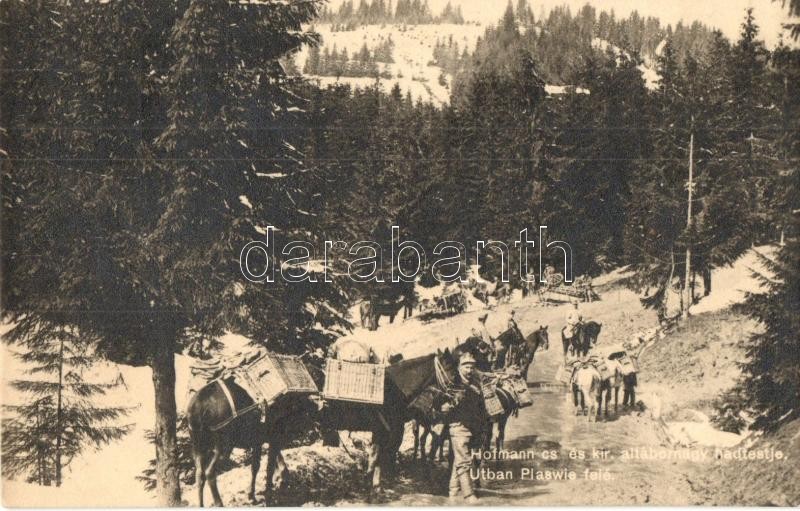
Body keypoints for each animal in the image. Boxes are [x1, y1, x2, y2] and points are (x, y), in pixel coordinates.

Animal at [186, 379, 318, 506]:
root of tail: (198, 405)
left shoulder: (259, 441)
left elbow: (259, 465)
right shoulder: (271, 438)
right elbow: (266, 466)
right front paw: (267, 494)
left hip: (198, 446)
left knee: (199, 474)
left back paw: (201, 504)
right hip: (222, 447)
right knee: (209, 472)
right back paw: (219, 503)